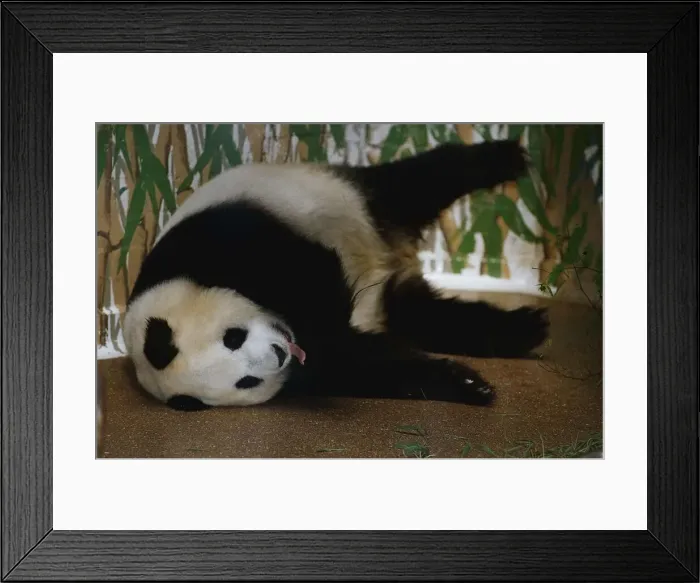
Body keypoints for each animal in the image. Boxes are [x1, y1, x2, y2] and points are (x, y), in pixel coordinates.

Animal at [122, 139, 549, 411]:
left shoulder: (210, 241)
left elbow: (303, 267)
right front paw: (466, 383)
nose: (279, 353)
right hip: (395, 293)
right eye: (246, 381)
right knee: (428, 316)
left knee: (422, 179)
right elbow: (360, 366)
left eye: (233, 337)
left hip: (351, 195)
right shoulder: (305, 374)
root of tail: (397, 254)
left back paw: (506, 156)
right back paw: (523, 329)